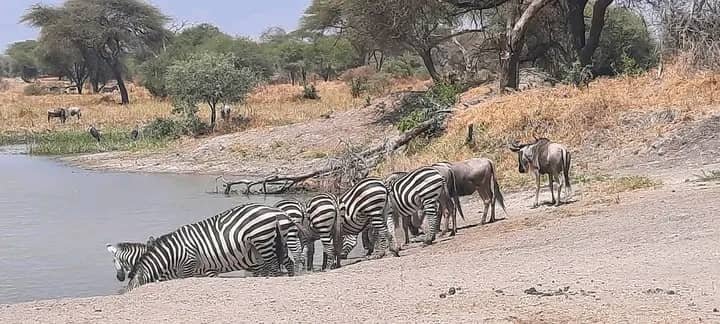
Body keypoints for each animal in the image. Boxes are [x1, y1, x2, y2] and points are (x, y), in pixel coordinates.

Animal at [125, 202, 294, 292]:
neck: (173, 254)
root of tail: (277, 211)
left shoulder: (190, 264)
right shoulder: (205, 270)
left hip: (262, 239)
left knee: (273, 265)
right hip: (276, 242)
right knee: (288, 262)